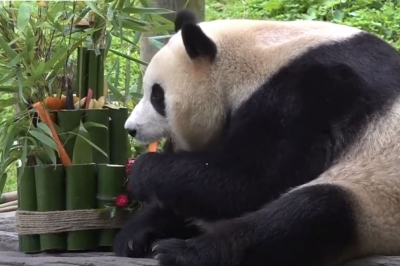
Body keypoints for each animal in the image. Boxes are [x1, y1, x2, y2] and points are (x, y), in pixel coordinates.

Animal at [113, 8, 400, 266]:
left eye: (157, 96)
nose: (131, 129)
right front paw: (134, 232)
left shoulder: (311, 93)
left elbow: (246, 179)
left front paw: (142, 172)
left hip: (376, 200)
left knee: (309, 215)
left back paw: (182, 252)